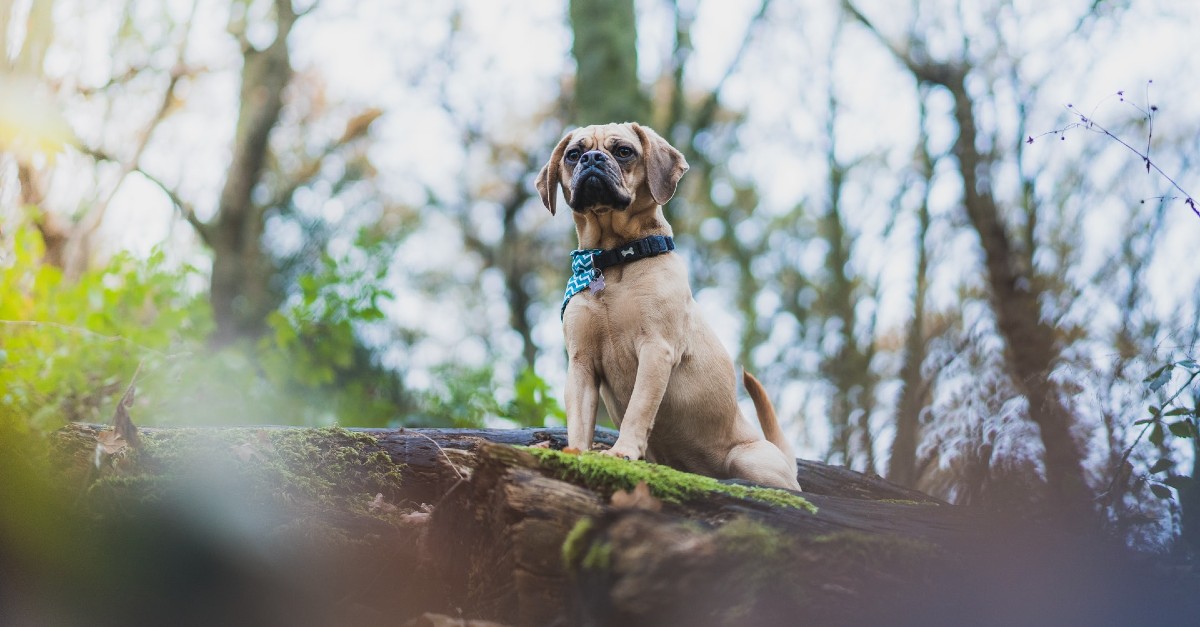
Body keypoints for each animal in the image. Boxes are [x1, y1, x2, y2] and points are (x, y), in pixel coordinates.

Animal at [537, 121, 801, 490]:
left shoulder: (655, 350)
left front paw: (622, 452)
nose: (591, 159)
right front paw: (576, 452)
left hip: (748, 459)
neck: (614, 260)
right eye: (573, 154)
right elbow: (578, 421)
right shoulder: (581, 364)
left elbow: (638, 409)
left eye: (624, 151)